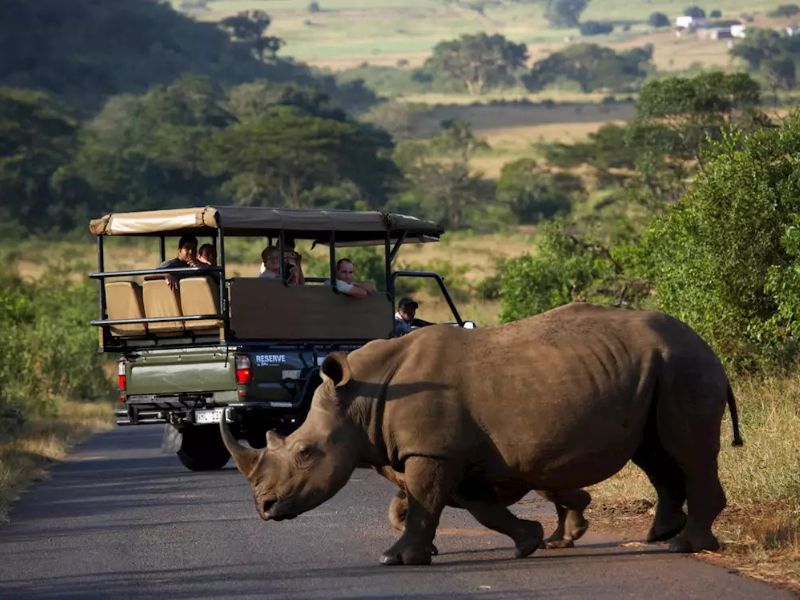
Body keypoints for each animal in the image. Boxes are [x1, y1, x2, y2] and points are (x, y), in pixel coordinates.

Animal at [220, 303, 742, 566]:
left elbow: (429, 502)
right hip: (661, 369)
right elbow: (471, 505)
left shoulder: (433, 450)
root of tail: (705, 342)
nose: (265, 509)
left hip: (684, 366)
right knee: (655, 453)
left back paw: (685, 545)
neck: (359, 398)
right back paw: (660, 534)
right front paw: (528, 540)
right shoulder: (448, 451)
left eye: (306, 452)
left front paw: (398, 558)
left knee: (685, 451)